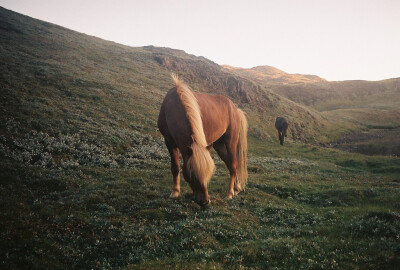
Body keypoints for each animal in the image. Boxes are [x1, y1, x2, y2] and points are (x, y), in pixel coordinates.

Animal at [158, 75, 248, 206]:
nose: (205, 202)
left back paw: (230, 193)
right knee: (230, 164)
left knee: (233, 165)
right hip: (219, 146)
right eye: (192, 175)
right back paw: (236, 188)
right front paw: (175, 192)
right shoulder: (169, 141)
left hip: (230, 142)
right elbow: (175, 167)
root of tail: (235, 109)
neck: (172, 107)